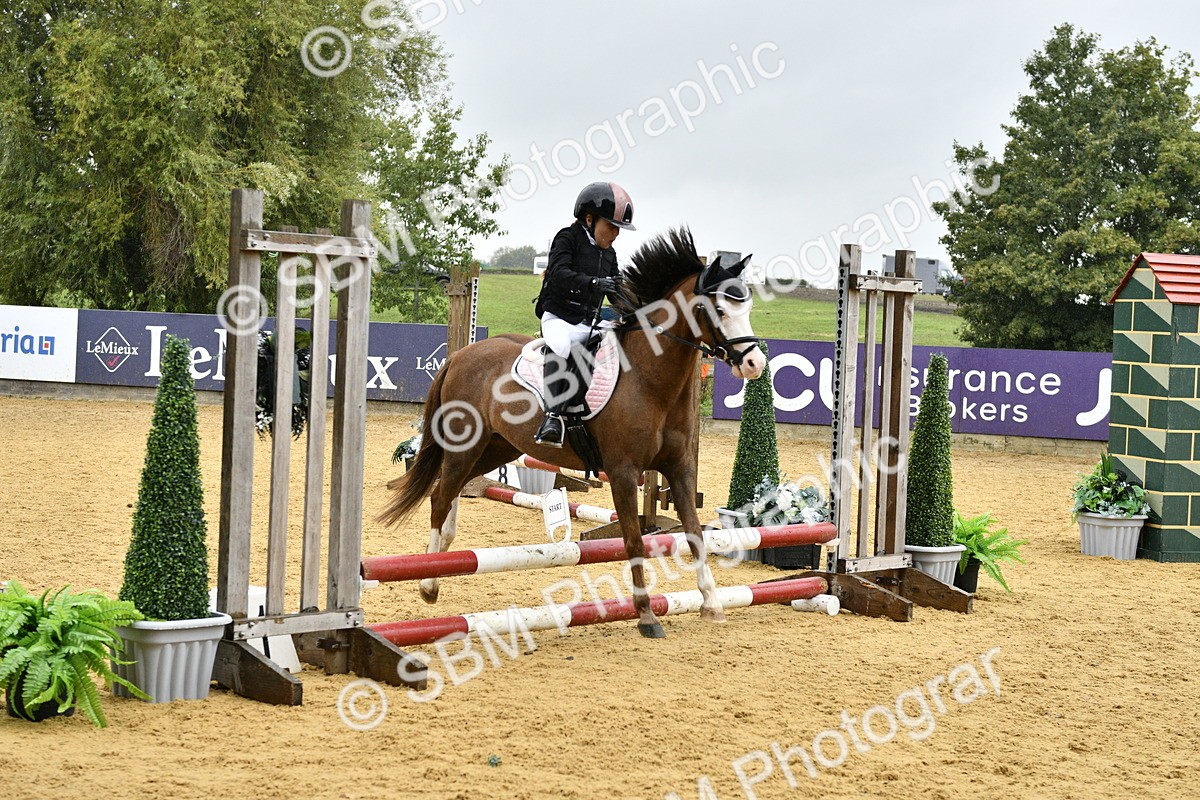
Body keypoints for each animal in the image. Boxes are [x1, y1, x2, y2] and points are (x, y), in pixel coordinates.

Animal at [379, 227, 765, 638]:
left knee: (449, 491)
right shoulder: (623, 472)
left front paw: (711, 603)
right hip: (466, 444)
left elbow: (694, 532)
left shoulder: (679, 468)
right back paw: (428, 584)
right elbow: (633, 540)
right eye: (719, 311)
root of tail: (461, 355)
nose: (755, 364)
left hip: (497, 447)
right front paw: (646, 616)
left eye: (746, 309)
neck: (649, 379)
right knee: (440, 495)